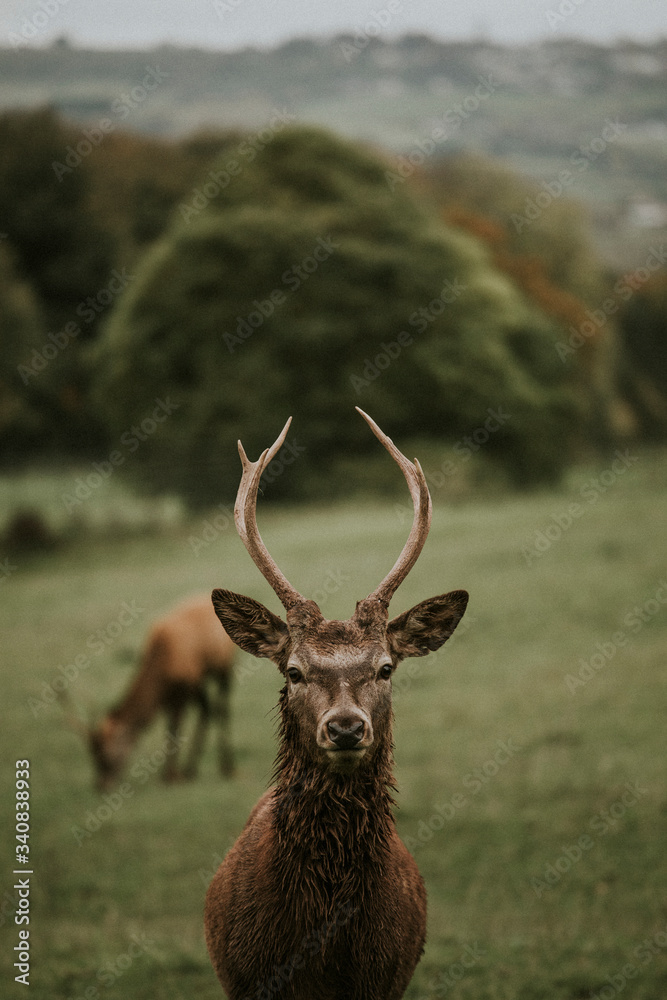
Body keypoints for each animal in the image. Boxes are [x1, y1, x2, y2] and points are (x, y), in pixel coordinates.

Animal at [81, 592, 237, 788]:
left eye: (105, 755)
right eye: (93, 756)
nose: (100, 786)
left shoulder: (183, 689)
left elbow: (176, 726)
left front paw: (171, 775)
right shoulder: (169, 695)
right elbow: (170, 727)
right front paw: (171, 773)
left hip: (223, 668)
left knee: (222, 708)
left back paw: (227, 767)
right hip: (200, 680)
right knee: (207, 711)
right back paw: (191, 769)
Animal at [205, 408, 470, 1000]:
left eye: (386, 667)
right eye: (294, 670)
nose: (346, 728)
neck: (324, 955)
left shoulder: (387, 978)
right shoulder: (247, 977)